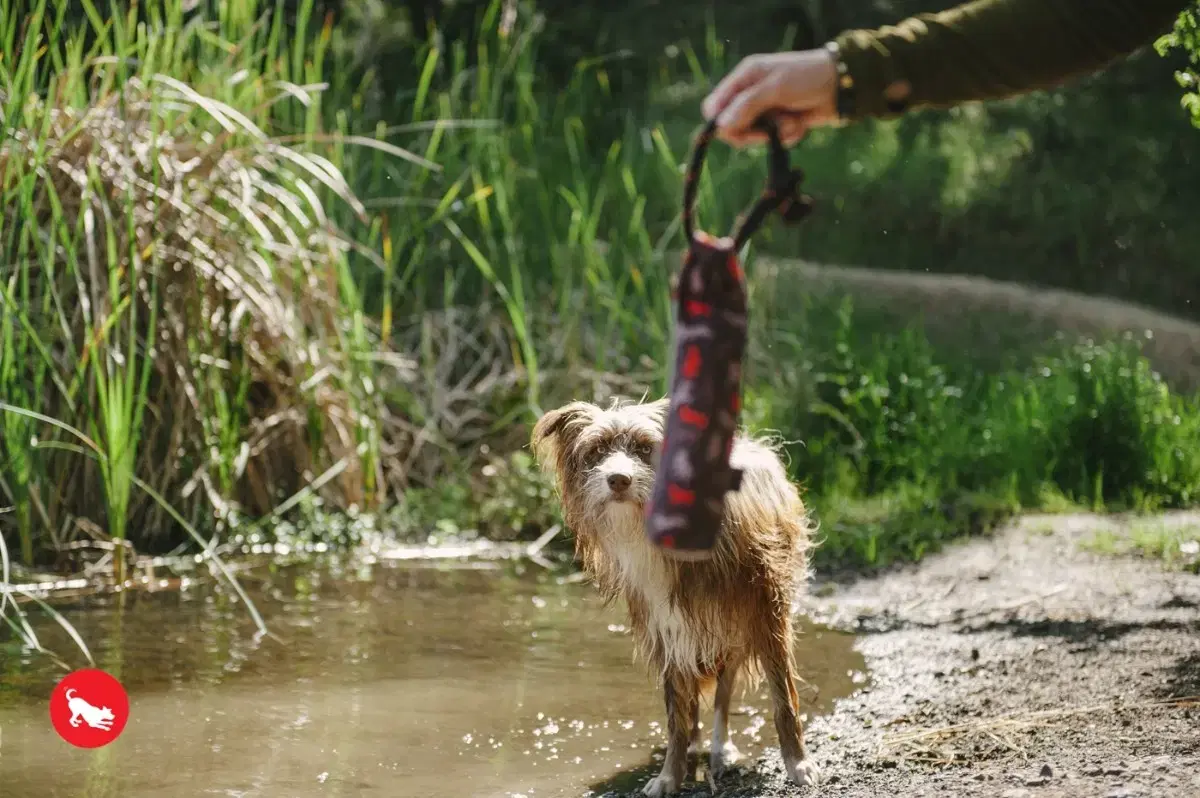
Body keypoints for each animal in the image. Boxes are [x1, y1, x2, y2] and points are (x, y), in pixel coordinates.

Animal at [537, 396, 825, 792]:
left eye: (646, 448)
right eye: (597, 451)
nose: (618, 480)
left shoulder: (766, 615)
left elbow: (783, 699)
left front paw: (798, 763)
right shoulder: (667, 627)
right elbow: (676, 712)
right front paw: (670, 775)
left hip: (733, 629)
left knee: (723, 690)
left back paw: (720, 748)